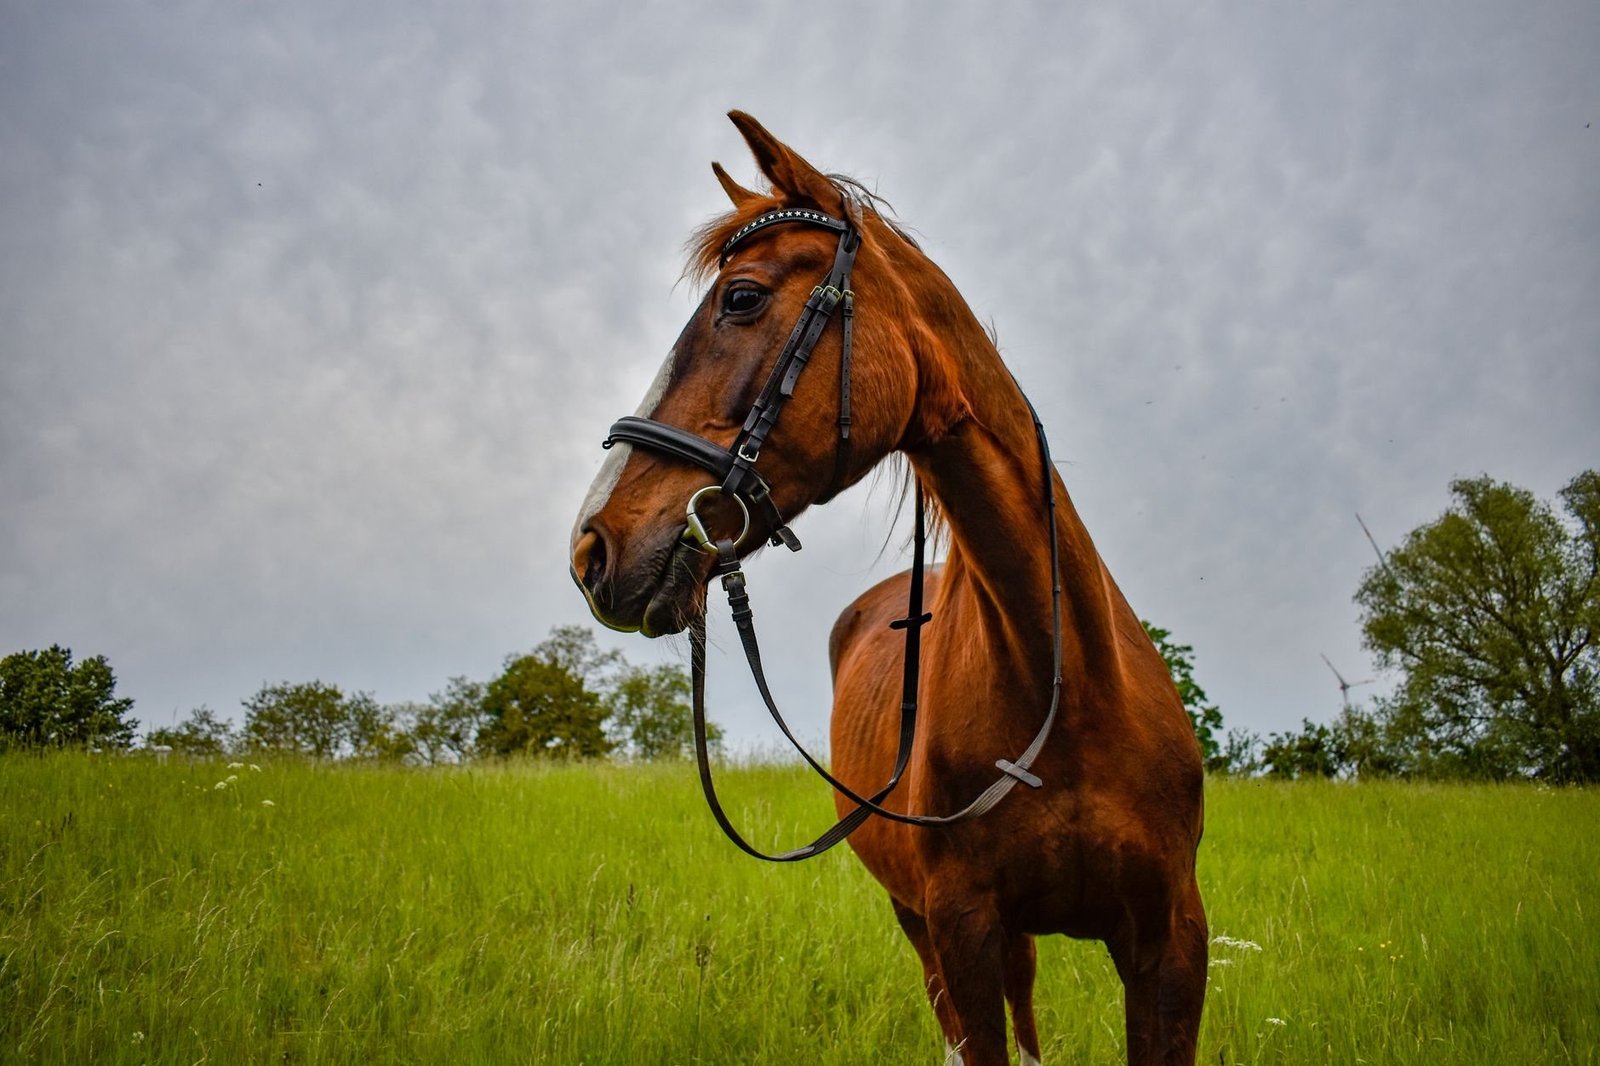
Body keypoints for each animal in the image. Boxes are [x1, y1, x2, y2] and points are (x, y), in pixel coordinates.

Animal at [570, 112, 1208, 1066]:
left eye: (742, 299)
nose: (591, 546)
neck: (1066, 688)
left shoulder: (1171, 945)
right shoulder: (962, 928)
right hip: (919, 921)